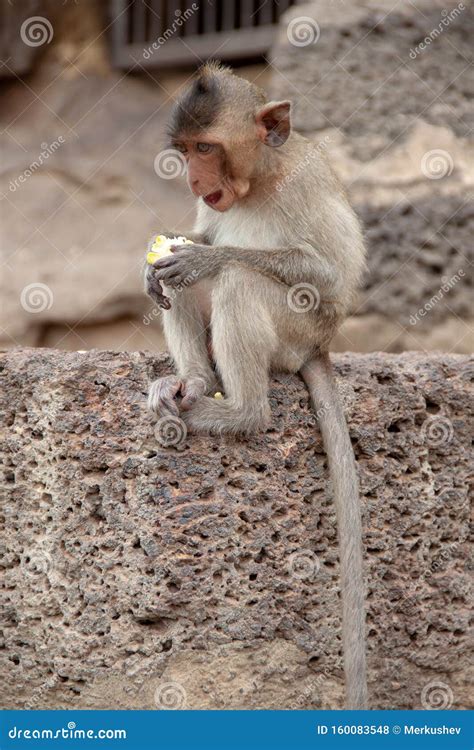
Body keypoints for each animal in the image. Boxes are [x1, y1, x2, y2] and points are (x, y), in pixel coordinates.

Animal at [145, 63, 370, 712]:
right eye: (184, 151)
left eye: (206, 148)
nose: (194, 179)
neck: (261, 180)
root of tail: (317, 349)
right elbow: (177, 253)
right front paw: (167, 256)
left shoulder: (304, 186)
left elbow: (326, 273)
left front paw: (202, 259)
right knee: (185, 285)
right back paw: (193, 383)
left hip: (298, 332)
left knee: (242, 279)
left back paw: (239, 413)